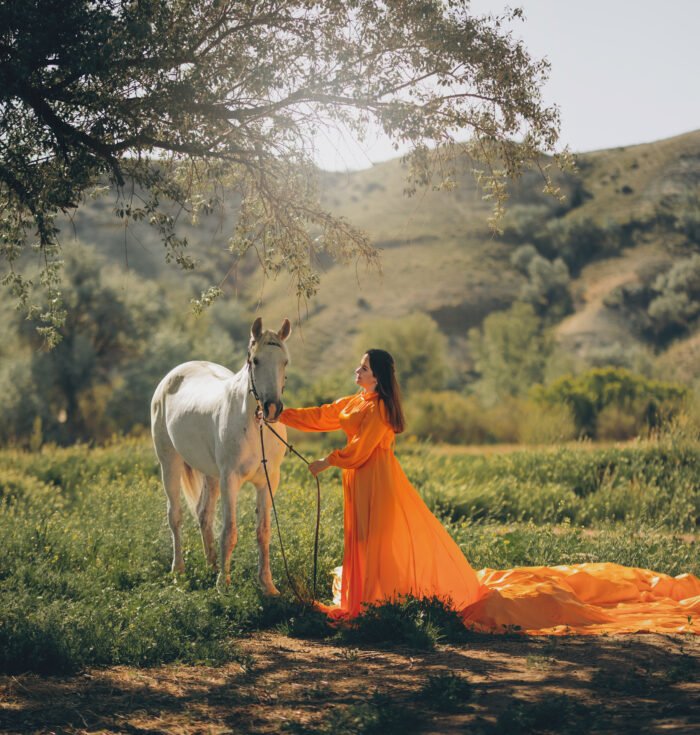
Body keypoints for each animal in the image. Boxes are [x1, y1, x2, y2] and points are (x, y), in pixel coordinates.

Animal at [150, 316, 290, 592]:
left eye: (285, 361)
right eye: (255, 361)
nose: (272, 408)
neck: (254, 426)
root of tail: (173, 375)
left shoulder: (268, 482)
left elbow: (263, 531)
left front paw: (267, 585)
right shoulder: (230, 480)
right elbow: (229, 531)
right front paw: (223, 585)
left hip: (210, 474)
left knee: (204, 515)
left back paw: (212, 565)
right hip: (169, 463)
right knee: (175, 516)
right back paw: (179, 570)